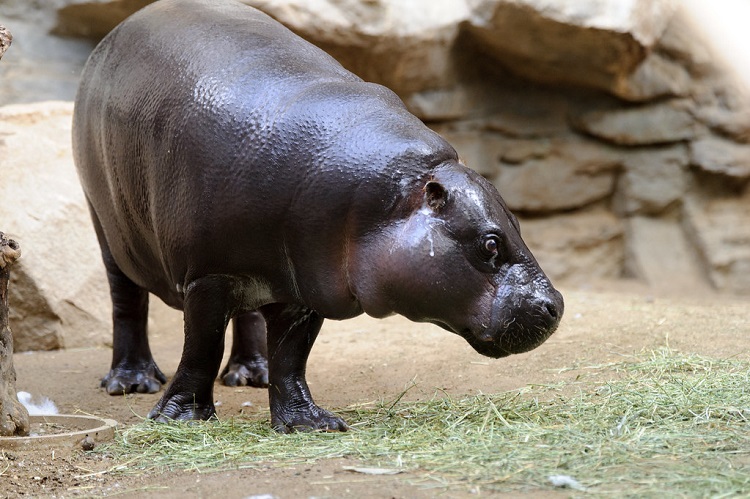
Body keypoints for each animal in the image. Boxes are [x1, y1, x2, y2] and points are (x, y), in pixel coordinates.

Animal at [73, 0, 564, 434]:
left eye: (517, 225)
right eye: (490, 243)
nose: (556, 305)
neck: (387, 196)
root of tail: (117, 32)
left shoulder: (303, 282)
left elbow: (292, 356)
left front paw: (310, 425)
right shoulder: (207, 275)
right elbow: (201, 344)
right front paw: (181, 420)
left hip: (260, 269)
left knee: (248, 318)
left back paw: (252, 375)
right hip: (107, 226)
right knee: (127, 301)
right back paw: (132, 382)